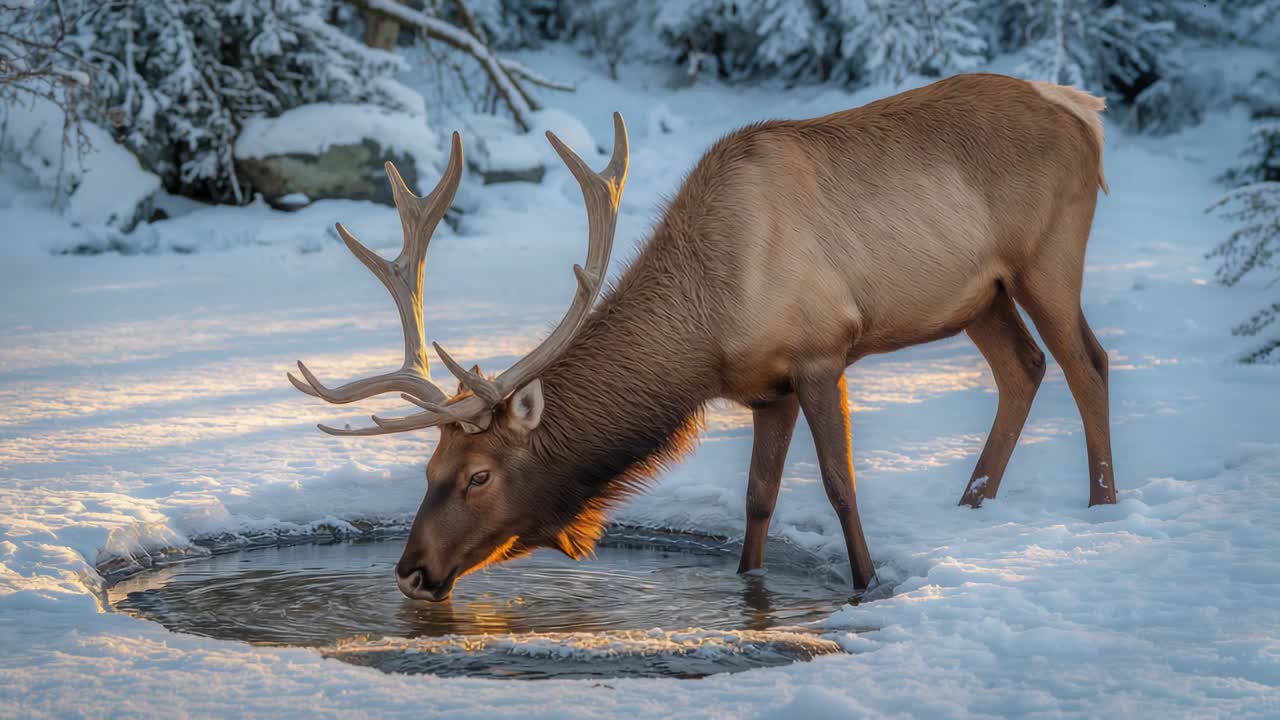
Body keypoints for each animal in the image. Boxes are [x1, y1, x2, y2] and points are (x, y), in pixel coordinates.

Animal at [289, 73, 1115, 602]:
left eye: (478, 475)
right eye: (428, 465)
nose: (409, 570)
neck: (709, 328)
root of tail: (1086, 111)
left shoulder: (820, 353)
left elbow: (840, 486)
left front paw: (867, 582)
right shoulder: (765, 389)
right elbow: (758, 498)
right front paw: (750, 583)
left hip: (1048, 255)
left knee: (1088, 364)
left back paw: (1102, 504)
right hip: (982, 294)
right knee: (1024, 368)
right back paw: (974, 505)